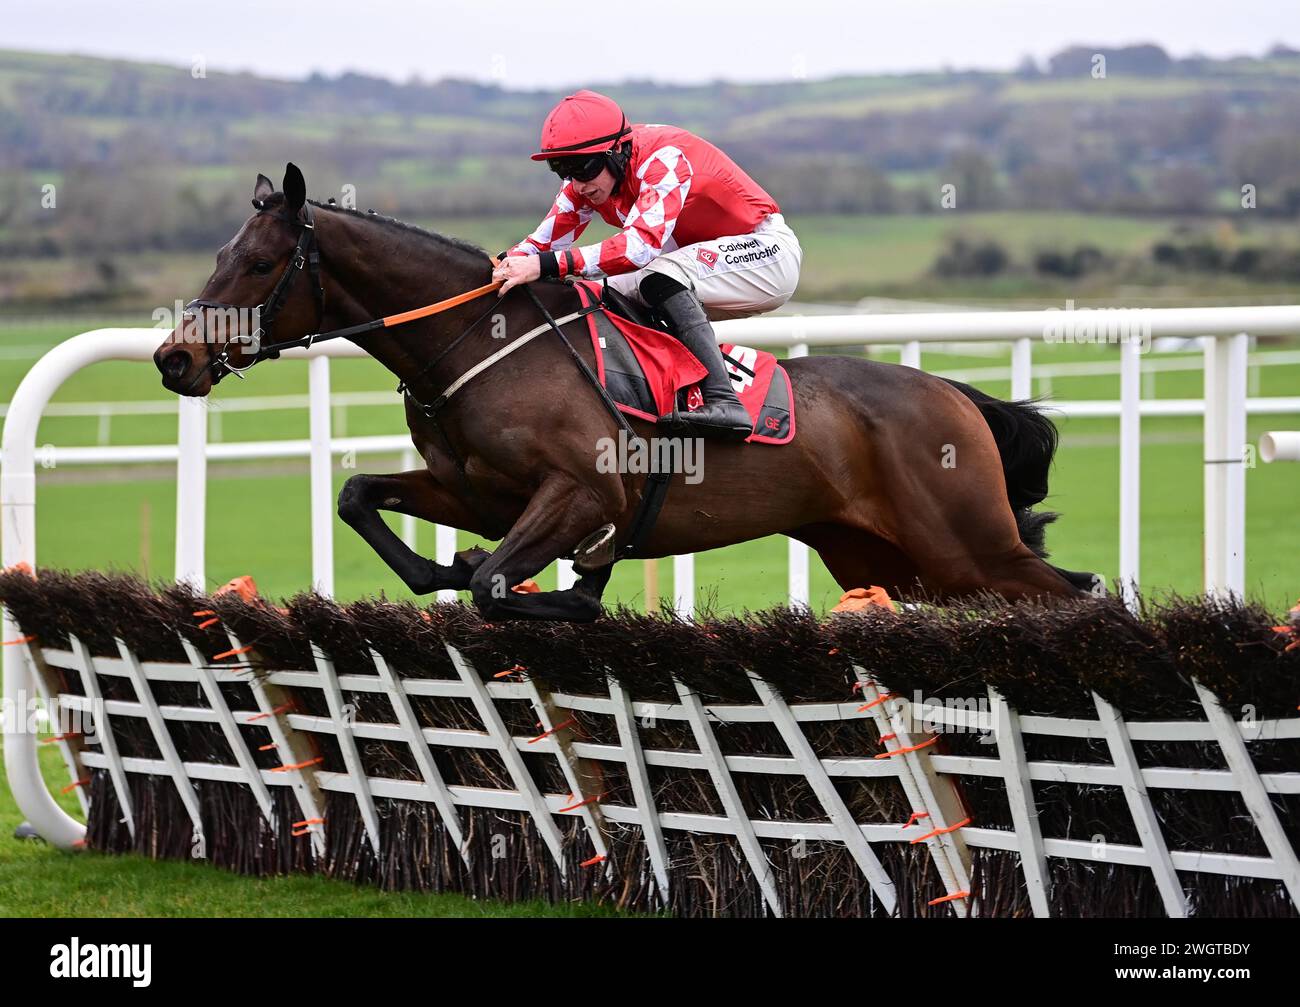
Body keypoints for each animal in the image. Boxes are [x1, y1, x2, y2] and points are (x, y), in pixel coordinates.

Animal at [154, 165, 1097, 621]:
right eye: (221, 254)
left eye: (260, 262)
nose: (172, 358)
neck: (484, 345)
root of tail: (955, 395)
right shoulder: (478, 493)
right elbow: (362, 498)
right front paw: (440, 564)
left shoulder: (581, 490)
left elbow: (501, 584)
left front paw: (565, 589)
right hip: (886, 557)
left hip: (966, 547)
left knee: (1076, 589)